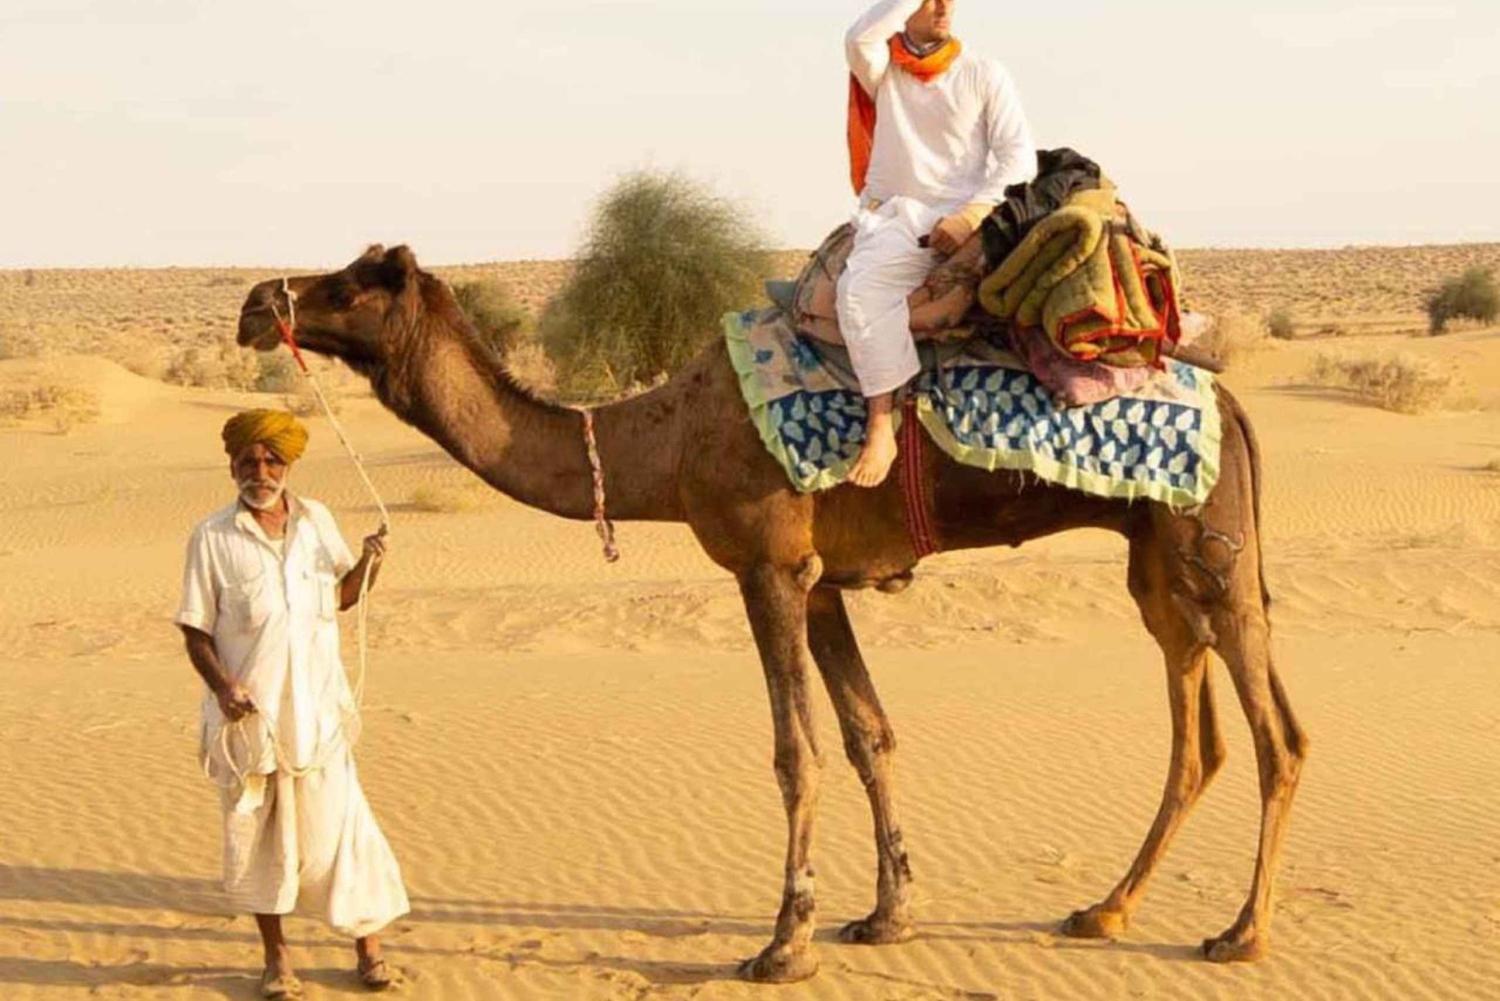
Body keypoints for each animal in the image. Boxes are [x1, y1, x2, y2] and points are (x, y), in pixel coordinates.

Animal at [237, 245, 1309, 983]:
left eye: (351, 283)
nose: (255, 302)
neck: (662, 442)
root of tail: (1234, 401)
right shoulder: (822, 578)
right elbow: (870, 732)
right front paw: (885, 917)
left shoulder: (768, 565)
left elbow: (799, 750)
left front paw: (784, 942)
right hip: (1159, 555)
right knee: (1199, 730)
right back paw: (1105, 910)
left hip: (1207, 541)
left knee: (1276, 735)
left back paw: (1242, 931)